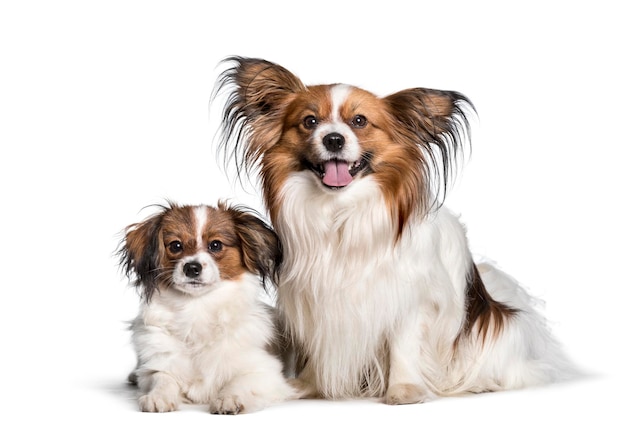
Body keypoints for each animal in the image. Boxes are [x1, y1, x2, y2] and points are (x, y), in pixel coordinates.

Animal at [117, 202, 298, 412]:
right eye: (175, 245)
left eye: (215, 245)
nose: (192, 267)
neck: (197, 307)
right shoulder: (158, 364)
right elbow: (162, 377)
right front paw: (158, 396)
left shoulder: (266, 372)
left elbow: (241, 382)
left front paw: (230, 398)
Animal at [214, 57, 576, 404]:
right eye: (310, 121)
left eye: (360, 121)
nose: (334, 139)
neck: (340, 211)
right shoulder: (316, 302)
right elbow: (320, 345)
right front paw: (309, 385)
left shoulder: (410, 299)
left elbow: (403, 345)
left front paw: (403, 390)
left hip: (499, 331)